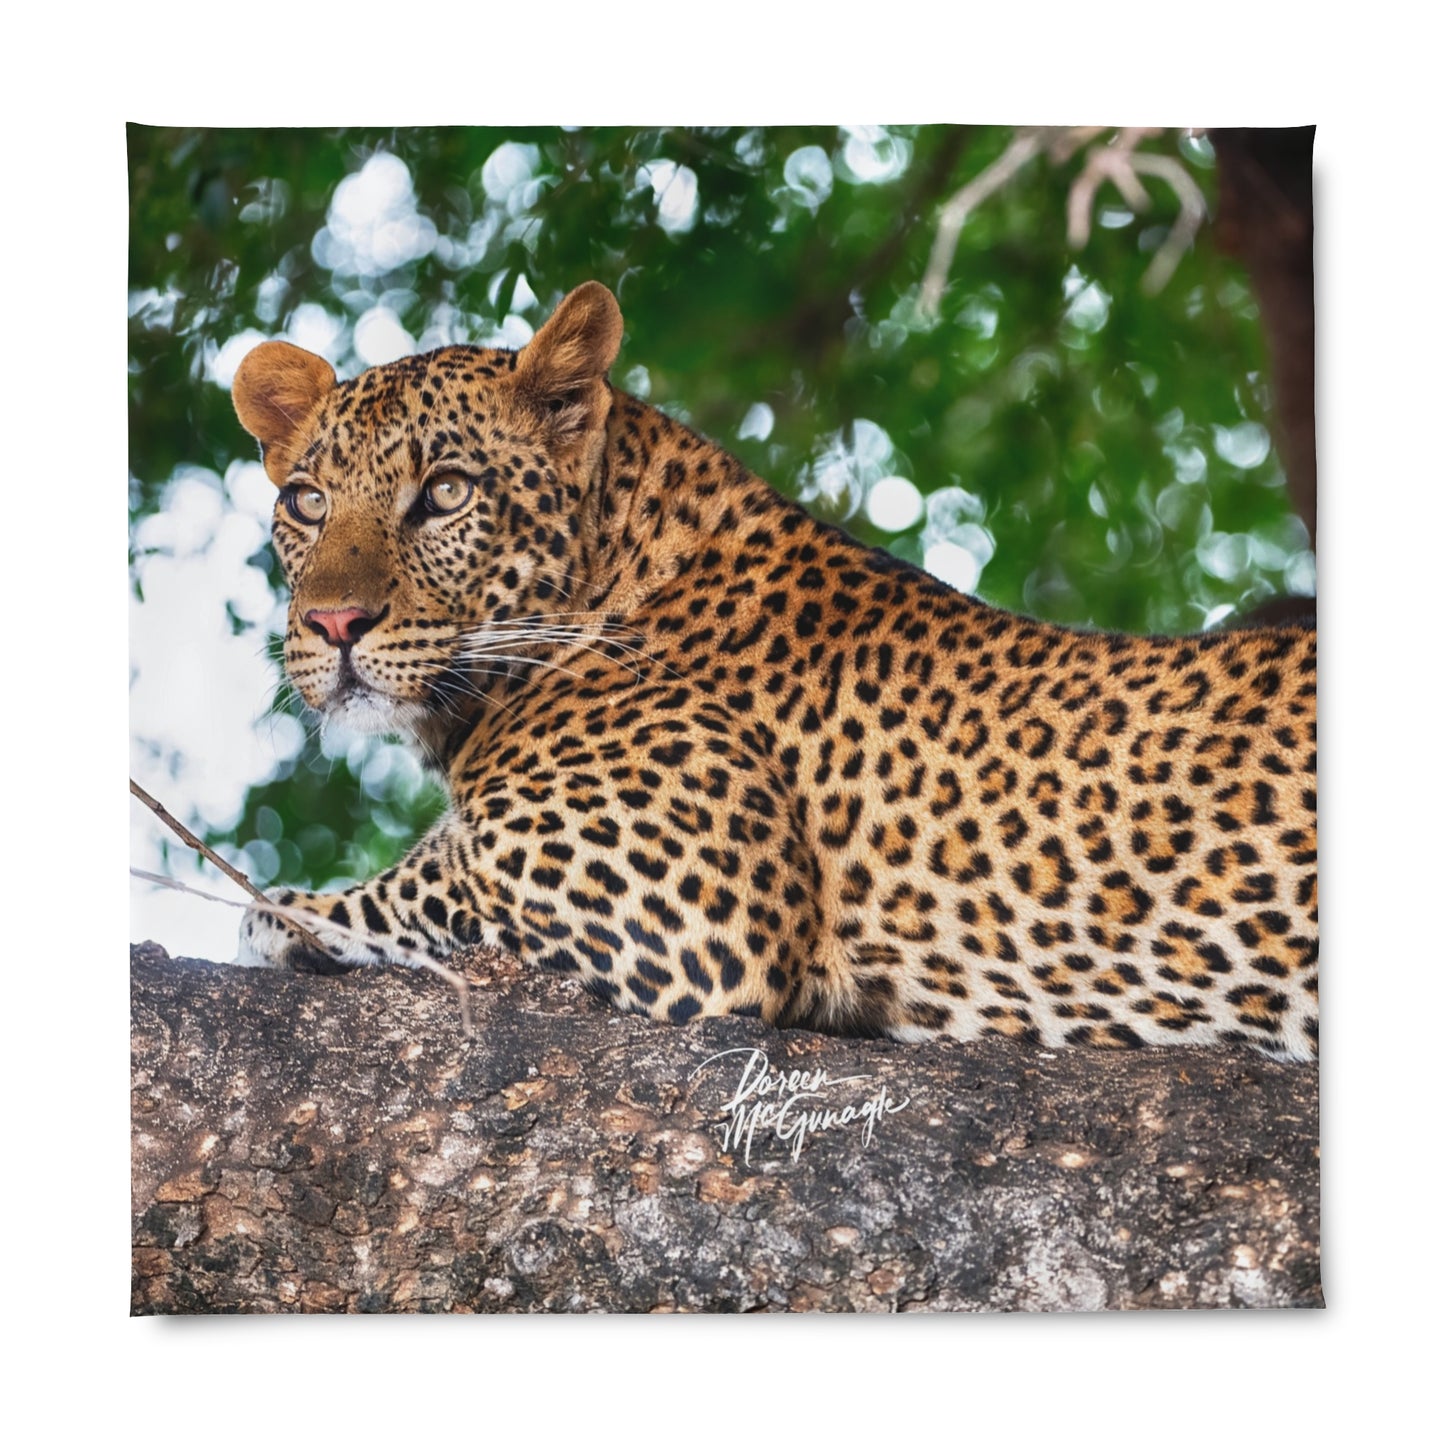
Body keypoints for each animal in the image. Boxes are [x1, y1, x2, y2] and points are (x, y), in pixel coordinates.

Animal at [230, 281, 1318, 1060]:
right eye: (308, 502)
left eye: (447, 493)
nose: (332, 622)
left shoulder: (673, 900)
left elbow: (405, 883)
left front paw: (288, 916)